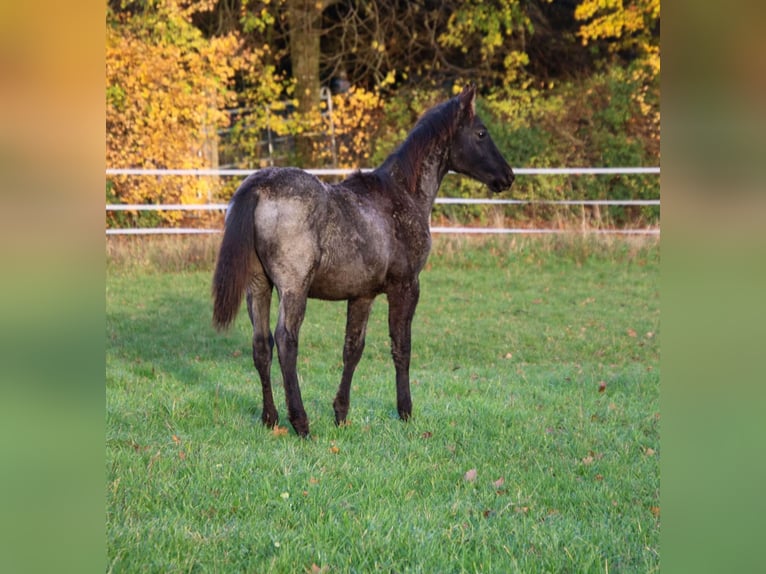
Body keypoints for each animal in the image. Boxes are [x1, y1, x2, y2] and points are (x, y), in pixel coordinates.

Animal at [212, 84, 514, 437]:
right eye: (481, 133)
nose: (507, 176)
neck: (400, 195)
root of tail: (258, 186)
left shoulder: (362, 295)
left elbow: (352, 350)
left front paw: (341, 413)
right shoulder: (406, 286)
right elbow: (401, 346)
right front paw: (405, 411)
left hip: (259, 286)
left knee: (261, 346)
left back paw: (270, 418)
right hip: (293, 288)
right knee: (286, 342)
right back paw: (300, 422)